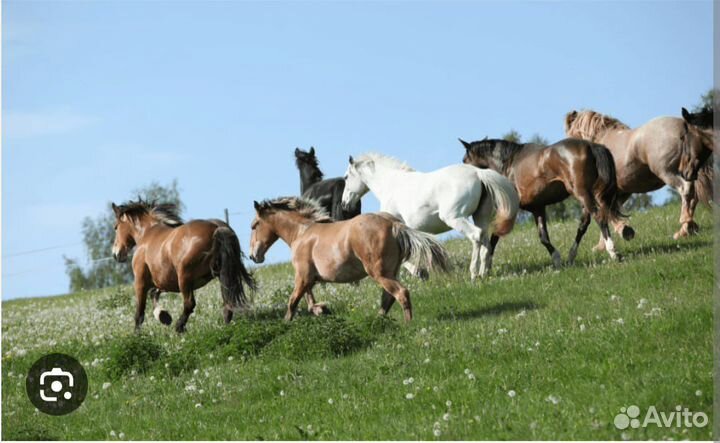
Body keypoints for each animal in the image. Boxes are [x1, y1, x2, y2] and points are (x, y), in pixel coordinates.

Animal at [111, 199, 255, 332]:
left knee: (189, 303)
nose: (116, 254)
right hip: (221, 274)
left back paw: (179, 327)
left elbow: (139, 313)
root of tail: (216, 228)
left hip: (184, 278)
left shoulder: (141, 282)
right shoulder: (164, 281)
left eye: (116, 227)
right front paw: (164, 316)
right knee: (227, 301)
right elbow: (154, 294)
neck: (147, 234)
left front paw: (138, 335)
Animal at [248, 197, 450, 322]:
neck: (302, 233)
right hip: (392, 271)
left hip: (379, 273)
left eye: (254, 225)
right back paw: (378, 321)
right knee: (388, 298)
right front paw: (321, 309)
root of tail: (393, 224)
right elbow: (308, 300)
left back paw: (407, 324)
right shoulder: (310, 278)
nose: (253, 256)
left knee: (401, 293)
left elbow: (293, 302)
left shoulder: (303, 276)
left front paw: (286, 324)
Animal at [340, 153, 519, 280]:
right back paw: (484, 273)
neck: (391, 185)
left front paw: (420, 272)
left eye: (346, 177)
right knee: (486, 242)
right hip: (480, 216)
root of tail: (478, 172)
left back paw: (473, 274)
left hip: (455, 218)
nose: (344, 204)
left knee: (476, 236)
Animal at [460, 137, 629, 266]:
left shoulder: (511, 210)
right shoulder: (538, 208)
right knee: (584, 224)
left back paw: (613, 251)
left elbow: (495, 235)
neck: (508, 164)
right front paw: (557, 260)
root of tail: (590, 145)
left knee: (599, 217)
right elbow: (543, 237)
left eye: (464, 160)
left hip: (581, 193)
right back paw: (571, 255)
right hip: (586, 195)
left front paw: (487, 264)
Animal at [565, 110, 714, 242]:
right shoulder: (623, 192)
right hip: (689, 172)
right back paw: (687, 229)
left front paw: (623, 231)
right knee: (693, 196)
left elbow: (607, 212)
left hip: (667, 172)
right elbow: (609, 212)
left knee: (686, 190)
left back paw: (684, 224)